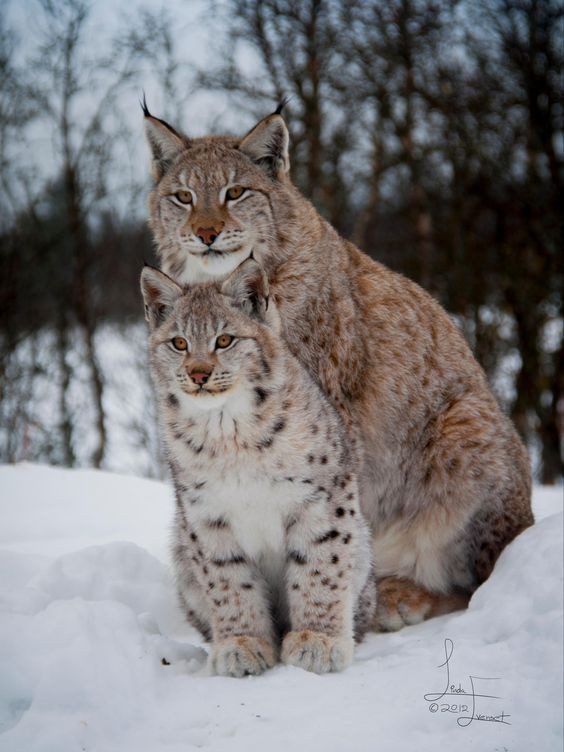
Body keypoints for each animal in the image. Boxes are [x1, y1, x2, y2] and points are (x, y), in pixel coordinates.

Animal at [140, 258, 374, 676]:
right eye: (179, 343)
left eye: (225, 341)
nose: (198, 374)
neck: (228, 428)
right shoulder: (206, 516)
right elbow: (229, 583)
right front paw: (242, 643)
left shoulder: (322, 498)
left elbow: (320, 568)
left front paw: (318, 640)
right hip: (181, 550)